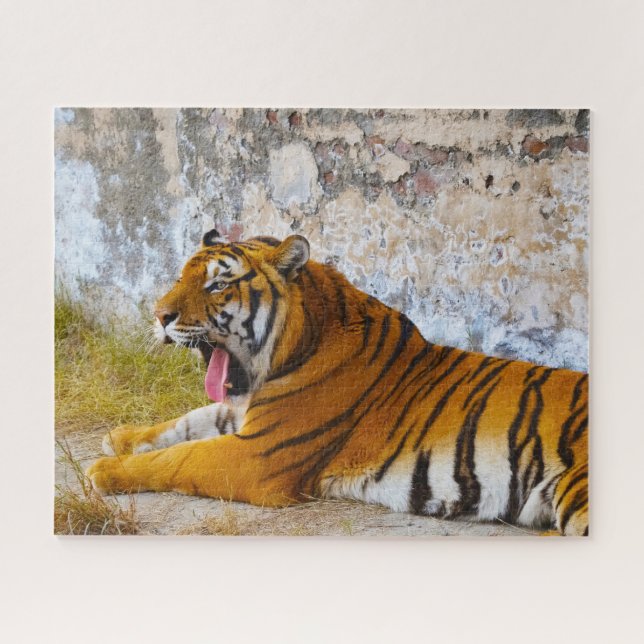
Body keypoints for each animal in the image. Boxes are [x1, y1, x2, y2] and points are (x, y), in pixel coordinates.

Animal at [87, 230, 589, 536]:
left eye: (216, 286)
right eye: (180, 277)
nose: (159, 316)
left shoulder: (256, 455)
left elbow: (179, 458)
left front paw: (104, 470)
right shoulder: (242, 415)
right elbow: (188, 421)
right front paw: (120, 437)